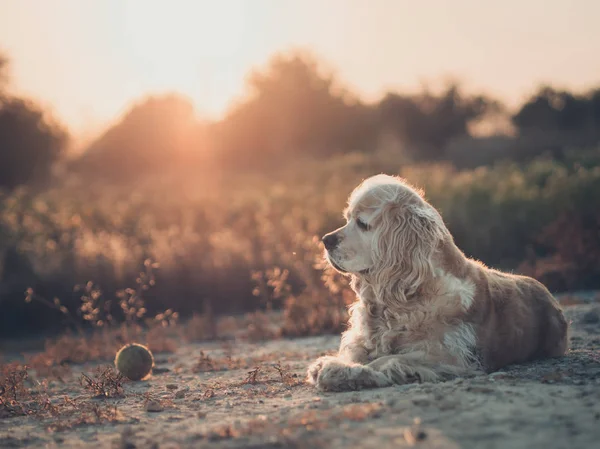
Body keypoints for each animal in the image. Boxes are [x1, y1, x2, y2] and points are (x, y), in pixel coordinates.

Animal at [308, 173, 568, 390]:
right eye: (347, 219)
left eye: (362, 223)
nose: (326, 240)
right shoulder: (364, 338)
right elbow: (358, 350)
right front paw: (334, 364)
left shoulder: (449, 354)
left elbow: (389, 358)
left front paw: (341, 371)